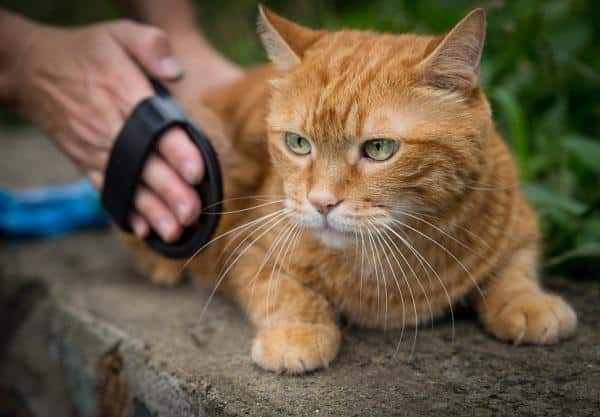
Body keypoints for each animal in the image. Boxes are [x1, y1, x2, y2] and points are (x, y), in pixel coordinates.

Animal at [125, 6, 576, 372]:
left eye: (379, 149)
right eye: (298, 143)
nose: (321, 202)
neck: (387, 263)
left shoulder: (520, 224)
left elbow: (514, 269)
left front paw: (528, 302)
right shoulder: (246, 248)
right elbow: (285, 291)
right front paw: (298, 332)